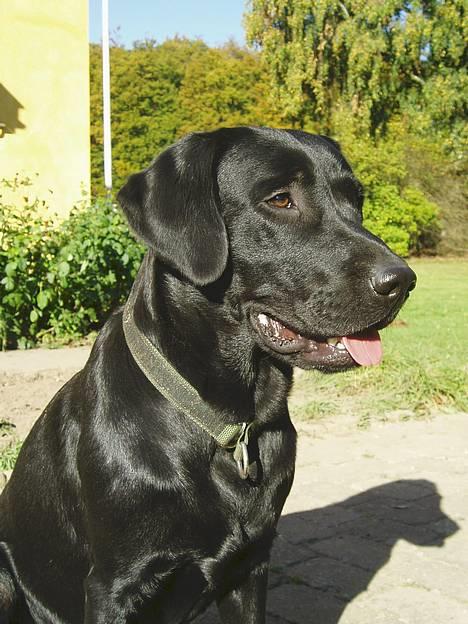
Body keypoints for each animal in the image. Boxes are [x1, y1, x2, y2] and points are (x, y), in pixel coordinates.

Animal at [0, 124, 416, 620]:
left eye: (356, 200)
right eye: (280, 199)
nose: (402, 281)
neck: (229, 422)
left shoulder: (252, 565)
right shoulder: (112, 587)